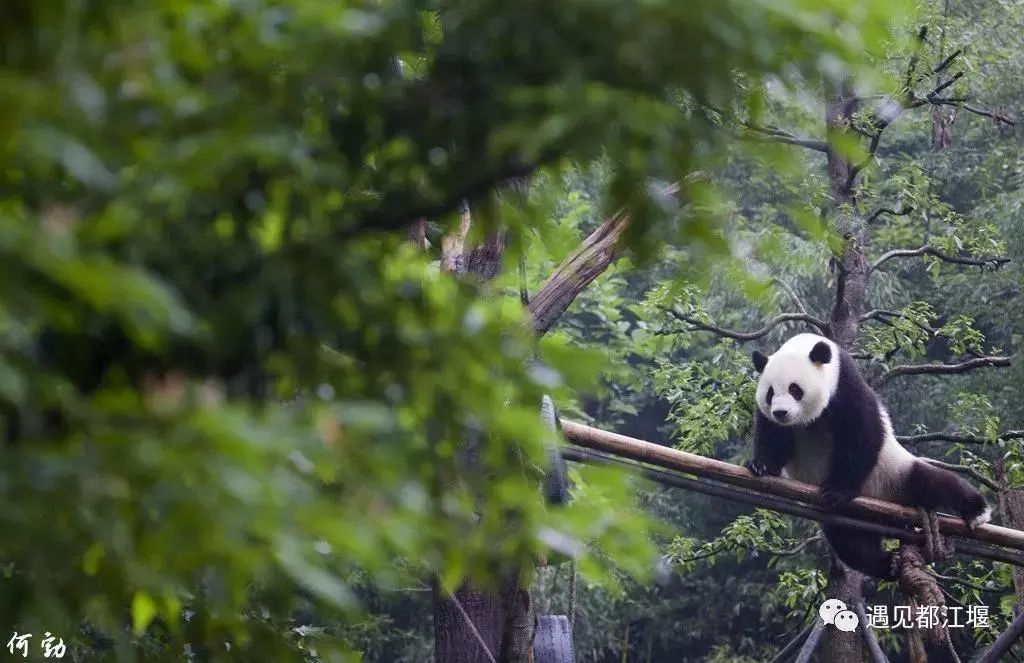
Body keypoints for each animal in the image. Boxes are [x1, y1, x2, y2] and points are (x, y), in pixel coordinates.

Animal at [745, 334, 991, 577]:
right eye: (770, 393)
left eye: (795, 389)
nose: (781, 412)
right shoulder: (772, 417)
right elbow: (772, 436)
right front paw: (761, 466)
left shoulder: (844, 387)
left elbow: (861, 435)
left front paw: (838, 489)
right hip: (848, 518)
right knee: (852, 544)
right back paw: (887, 564)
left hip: (893, 473)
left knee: (934, 482)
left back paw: (976, 511)